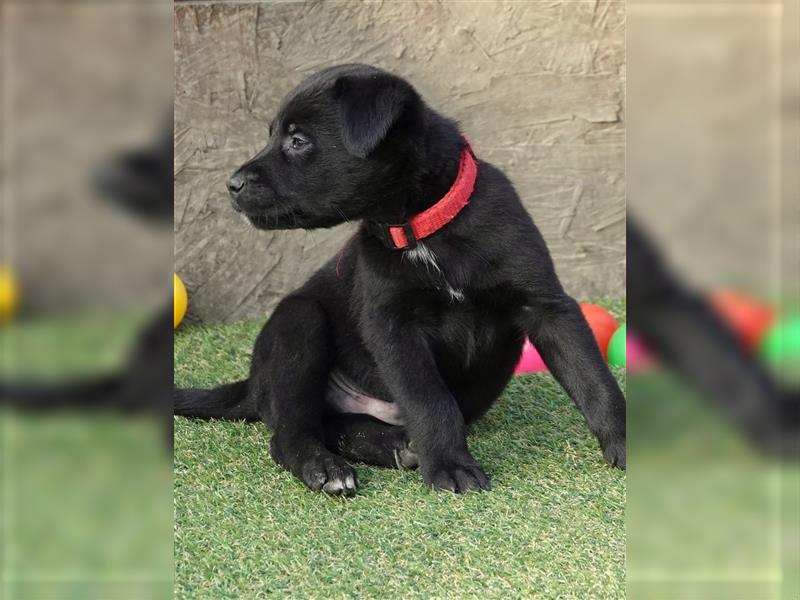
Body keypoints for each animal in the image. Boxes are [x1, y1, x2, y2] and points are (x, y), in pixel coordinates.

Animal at [175, 64, 624, 496]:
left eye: (298, 141)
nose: (231, 184)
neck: (424, 230)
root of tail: (252, 385)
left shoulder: (546, 306)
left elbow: (593, 378)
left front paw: (623, 441)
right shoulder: (393, 325)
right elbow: (430, 400)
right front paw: (450, 465)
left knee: (332, 426)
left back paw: (392, 445)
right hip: (298, 321)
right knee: (291, 434)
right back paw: (328, 467)